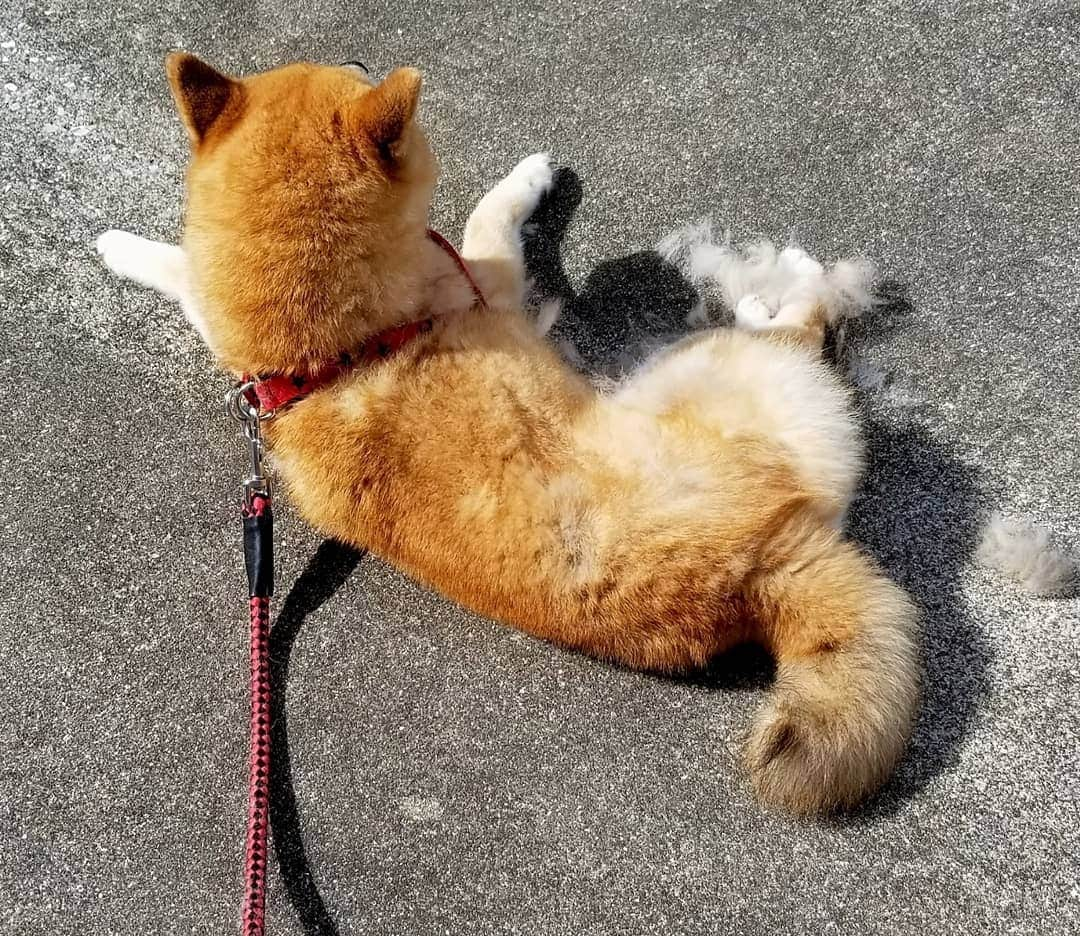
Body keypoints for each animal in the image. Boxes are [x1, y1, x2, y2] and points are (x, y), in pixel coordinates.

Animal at [97, 54, 920, 811]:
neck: (329, 354)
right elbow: (491, 215)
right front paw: (529, 177)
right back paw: (774, 300)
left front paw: (123, 248)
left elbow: (188, 274)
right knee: (804, 331)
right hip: (705, 371)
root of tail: (763, 561)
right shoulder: (486, 275)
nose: (364, 60)